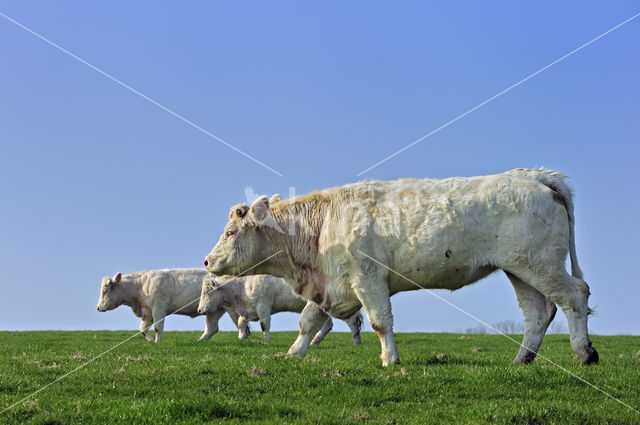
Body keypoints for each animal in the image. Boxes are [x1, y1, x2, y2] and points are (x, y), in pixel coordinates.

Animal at [96, 268, 249, 342]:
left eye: (105, 291)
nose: (98, 308)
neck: (141, 286)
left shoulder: (158, 308)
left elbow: (158, 327)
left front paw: (157, 342)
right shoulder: (148, 313)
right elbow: (142, 328)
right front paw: (150, 340)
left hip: (232, 309)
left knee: (243, 326)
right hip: (213, 310)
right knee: (211, 329)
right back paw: (199, 341)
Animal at [198, 274, 362, 344]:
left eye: (206, 292)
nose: (199, 310)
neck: (244, 286)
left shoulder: (263, 306)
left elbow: (264, 325)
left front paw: (267, 342)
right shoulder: (250, 310)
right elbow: (240, 321)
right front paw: (243, 336)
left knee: (353, 321)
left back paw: (357, 343)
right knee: (327, 325)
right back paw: (314, 341)